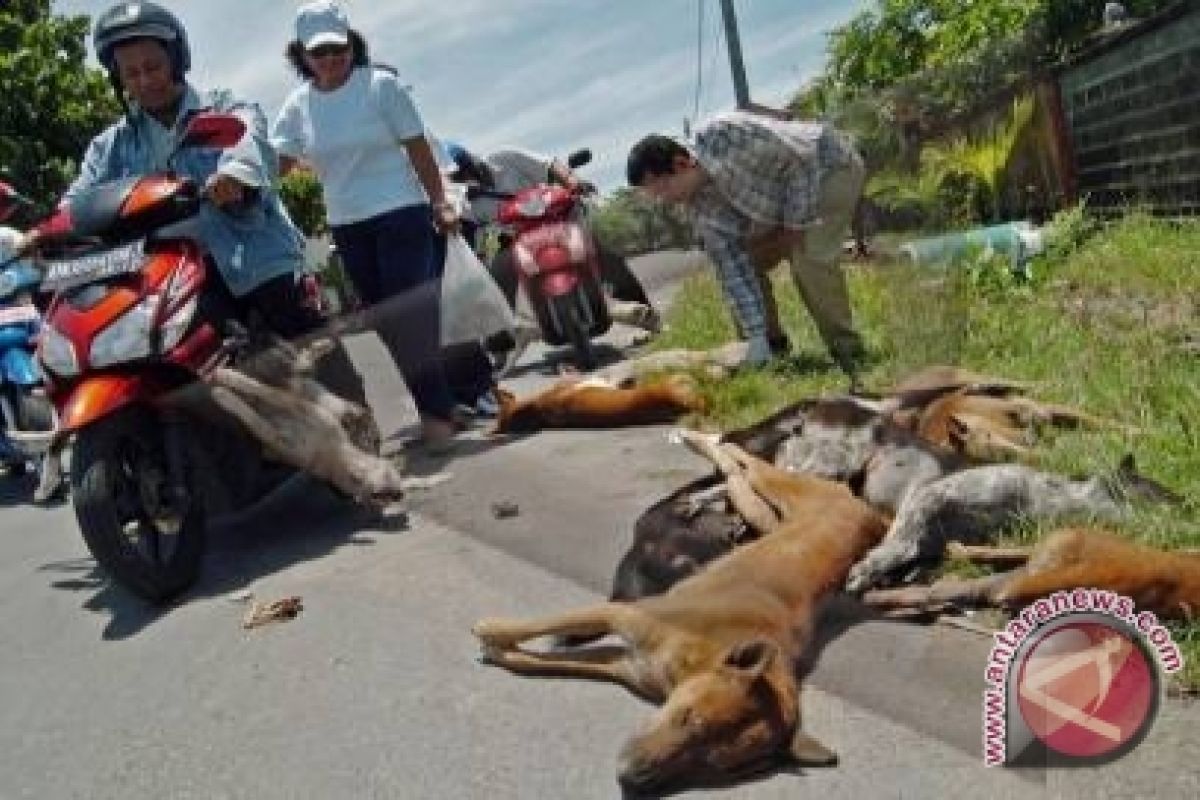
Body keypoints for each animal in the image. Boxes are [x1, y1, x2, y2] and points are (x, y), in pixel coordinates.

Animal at [472, 431, 888, 796]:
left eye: (715, 764)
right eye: (687, 718)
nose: (631, 779)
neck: (702, 655)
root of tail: (871, 517)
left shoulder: (623, 664)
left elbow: (545, 662)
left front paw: (503, 654)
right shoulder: (619, 615)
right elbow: (539, 625)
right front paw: (490, 629)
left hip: (764, 513)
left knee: (739, 476)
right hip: (783, 490)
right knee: (745, 463)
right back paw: (702, 441)